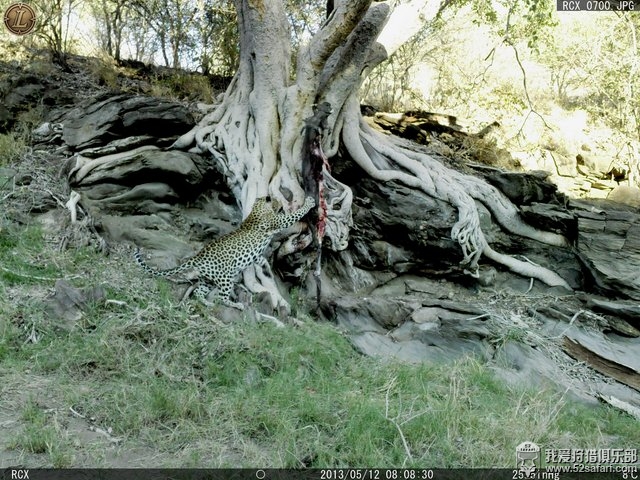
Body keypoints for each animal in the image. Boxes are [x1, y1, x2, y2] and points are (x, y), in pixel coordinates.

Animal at [135, 197, 316, 310]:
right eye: (278, 203)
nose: (281, 207)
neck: (258, 205)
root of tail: (197, 257)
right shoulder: (277, 221)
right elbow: (295, 215)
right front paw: (309, 202)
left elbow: (259, 258)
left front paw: (263, 263)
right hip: (225, 278)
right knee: (221, 297)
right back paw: (235, 305)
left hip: (208, 279)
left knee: (198, 291)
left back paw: (207, 304)